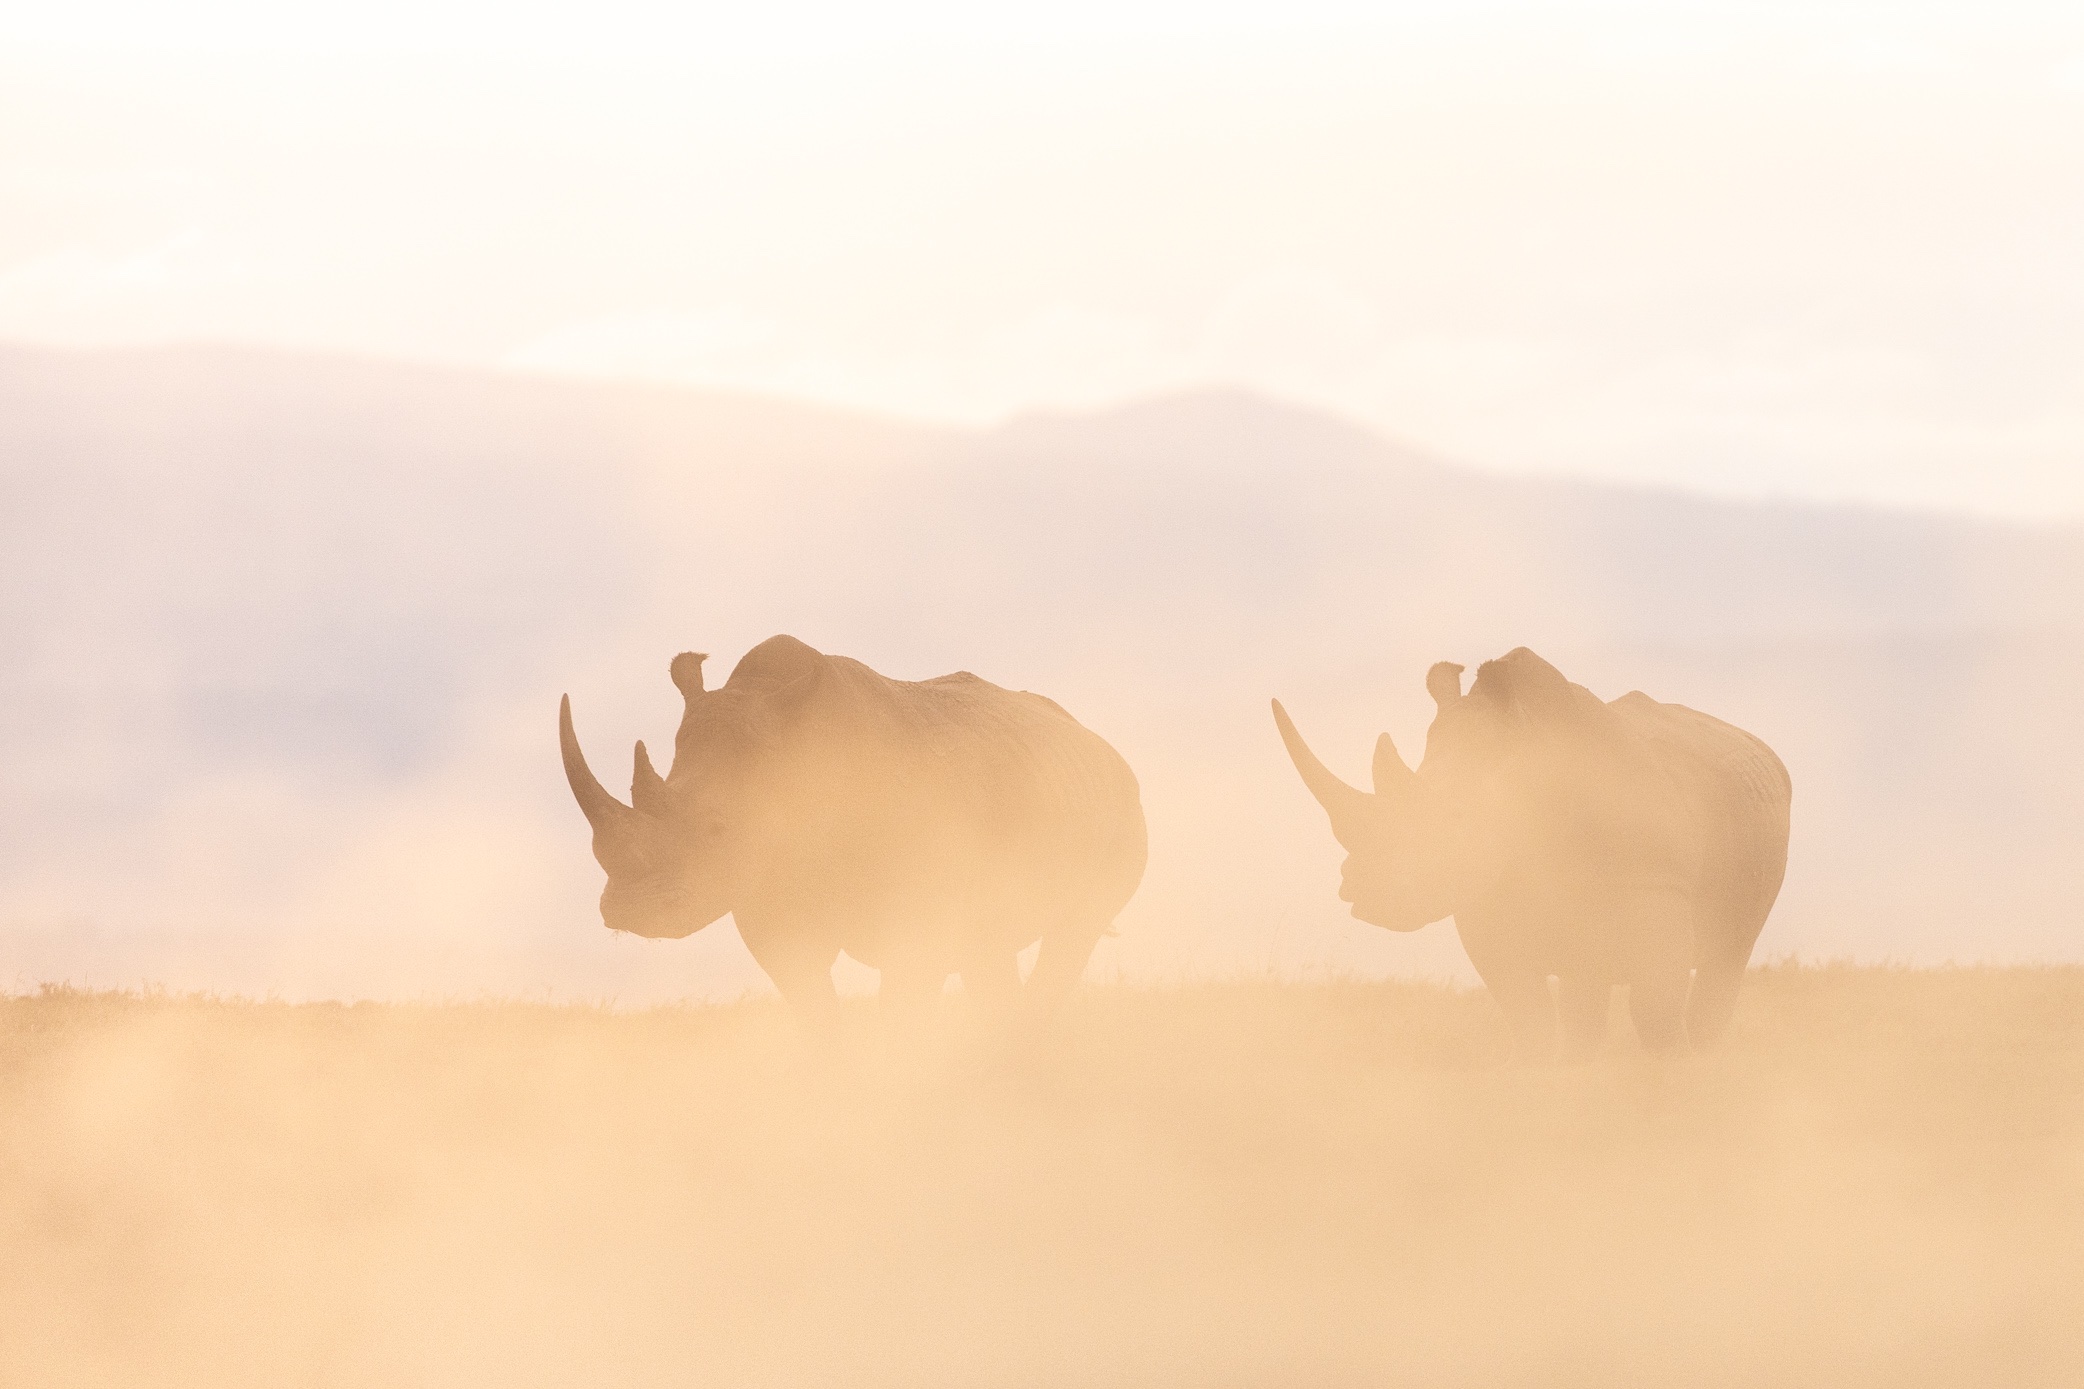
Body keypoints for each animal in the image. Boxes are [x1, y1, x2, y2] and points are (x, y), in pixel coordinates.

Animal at [560, 635, 1147, 1029]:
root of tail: (1101, 745)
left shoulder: (919, 909)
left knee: (1073, 934)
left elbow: (903, 1009)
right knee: (990, 950)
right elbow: (818, 1014)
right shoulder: (773, 905)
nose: (628, 910)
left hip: (1120, 814)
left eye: (717, 828)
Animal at [1274, 647, 1791, 1057]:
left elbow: (1656, 1012)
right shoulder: (1488, 902)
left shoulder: (1658, 886)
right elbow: (1528, 1017)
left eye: (1454, 818)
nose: (1361, 892)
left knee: (1725, 960)